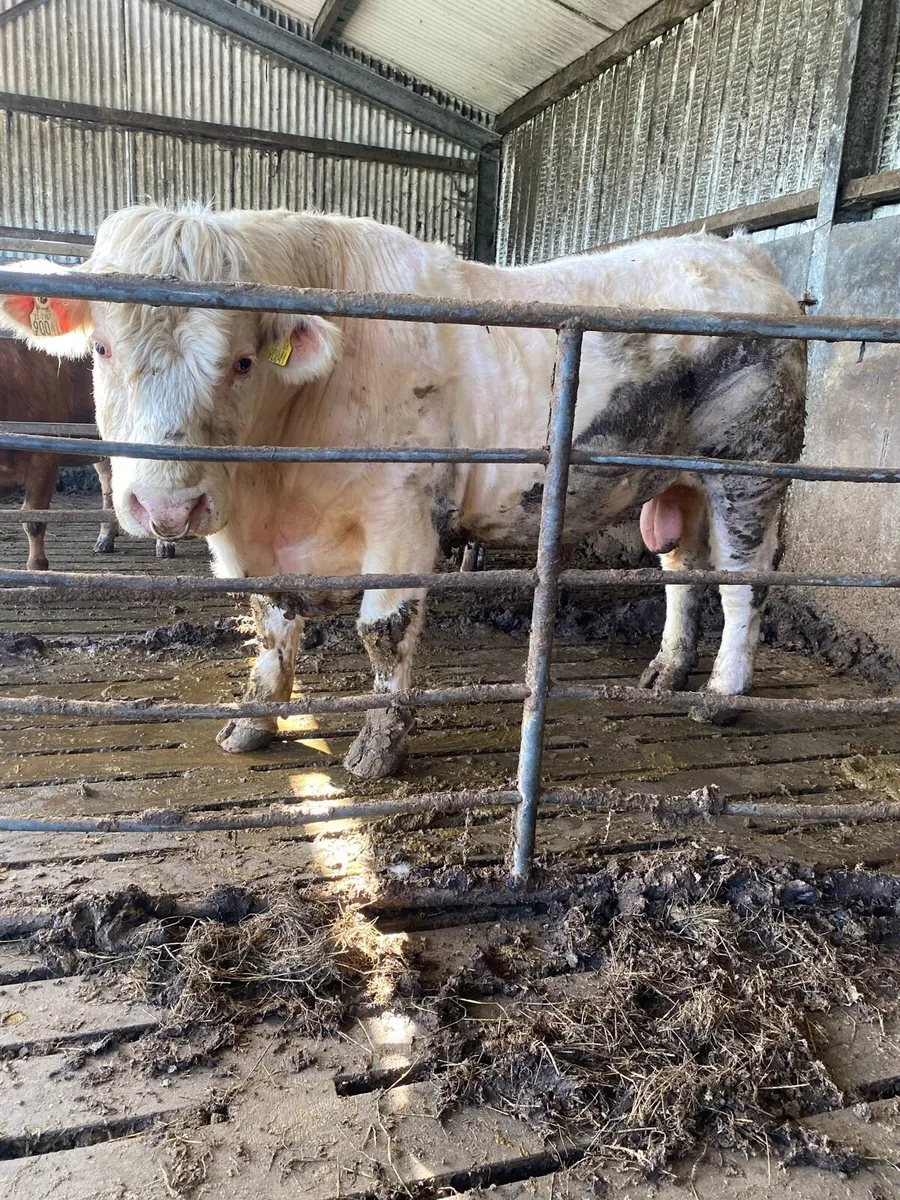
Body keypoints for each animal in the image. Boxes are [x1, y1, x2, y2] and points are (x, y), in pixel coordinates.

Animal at [0, 336, 175, 568]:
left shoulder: (45, 458)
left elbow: (33, 520)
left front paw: (37, 566)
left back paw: (164, 545)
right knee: (109, 486)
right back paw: (104, 540)